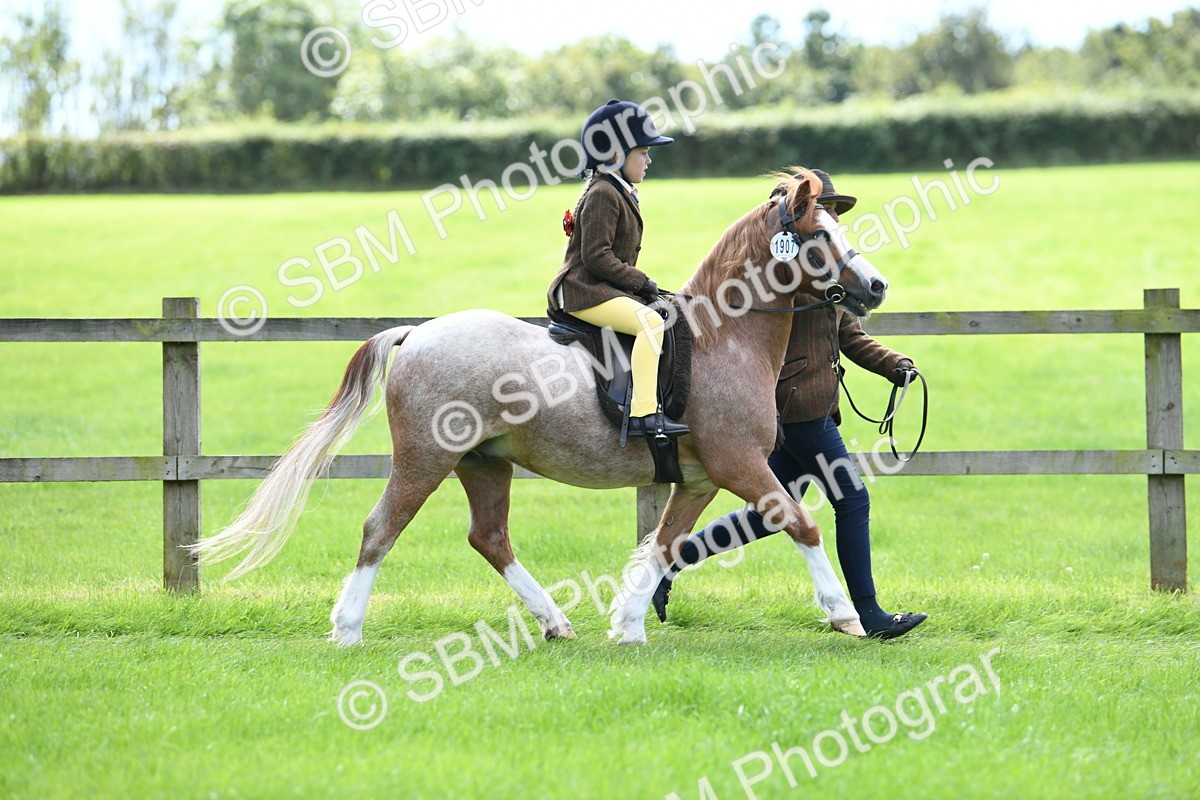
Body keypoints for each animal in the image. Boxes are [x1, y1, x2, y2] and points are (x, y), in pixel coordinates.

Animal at [190, 167, 890, 647]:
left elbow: (663, 546)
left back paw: (554, 621)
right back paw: (348, 629)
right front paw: (846, 615)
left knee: (490, 537)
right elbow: (801, 523)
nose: (876, 286)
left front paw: (628, 625)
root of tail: (415, 334)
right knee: (379, 530)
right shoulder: (739, 464)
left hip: (483, 463)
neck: (725, 337)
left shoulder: (697, 479)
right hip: (423, 460)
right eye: (819, 235)